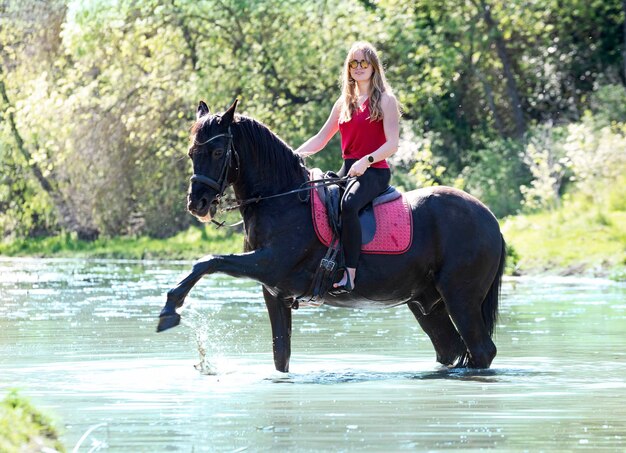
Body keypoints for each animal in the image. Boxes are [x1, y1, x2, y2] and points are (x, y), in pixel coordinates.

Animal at [158, 100, 504, 370]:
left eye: (218, 152)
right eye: (191, 153)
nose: (197, 203)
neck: (282, 198)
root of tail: (490, 219)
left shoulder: (269, 265)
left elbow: (208, 261)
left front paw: (170, 309)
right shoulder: (274, 292)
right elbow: (280, 356)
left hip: (461, 297)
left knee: (481, 351)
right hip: (426, 303)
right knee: (452, 351)